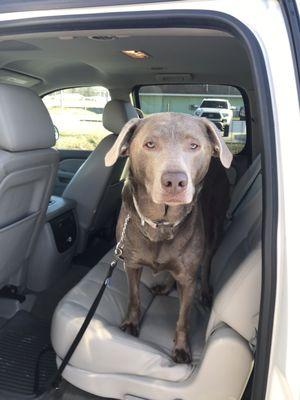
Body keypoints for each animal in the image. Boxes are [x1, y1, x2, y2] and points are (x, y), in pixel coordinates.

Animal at [104, 111, 233, 362]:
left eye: (194, 145)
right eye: (149, 144)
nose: (174, 181)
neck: (161, 223)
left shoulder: (188, 278)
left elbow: (183, 317)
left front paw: (181, 348)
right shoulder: (131, 264)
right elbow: (134, 297)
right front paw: (130, 323)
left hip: (214, 228)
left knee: (206, 262)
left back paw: (205, 291)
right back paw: (164, 287)